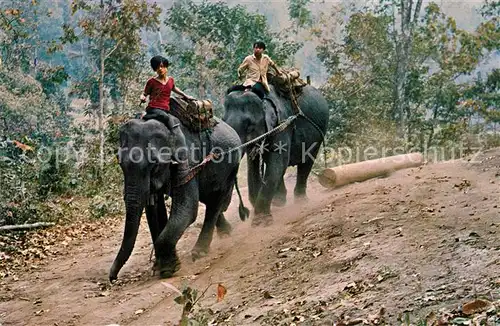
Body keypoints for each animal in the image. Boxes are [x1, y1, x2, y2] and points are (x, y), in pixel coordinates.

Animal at [110, 109, 249, 280]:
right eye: (120, 162)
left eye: (154, 165)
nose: (113, 278)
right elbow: (154, 211)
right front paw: (160, 265)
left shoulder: (188, 160)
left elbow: (187, 209)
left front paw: (169, 269)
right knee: (209, 199)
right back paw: (225, 232)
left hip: (231, 165)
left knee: (215, 201)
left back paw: (199, 252)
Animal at [223, 83, 328, 227]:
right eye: (224, 121)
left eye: (249, 127)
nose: (243, 212)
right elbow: (254, 165)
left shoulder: (282, 125)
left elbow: (278, 163)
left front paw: (261, 222)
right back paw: (279, 201)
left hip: (318, 133)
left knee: (306, 161)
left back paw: (300, 201)